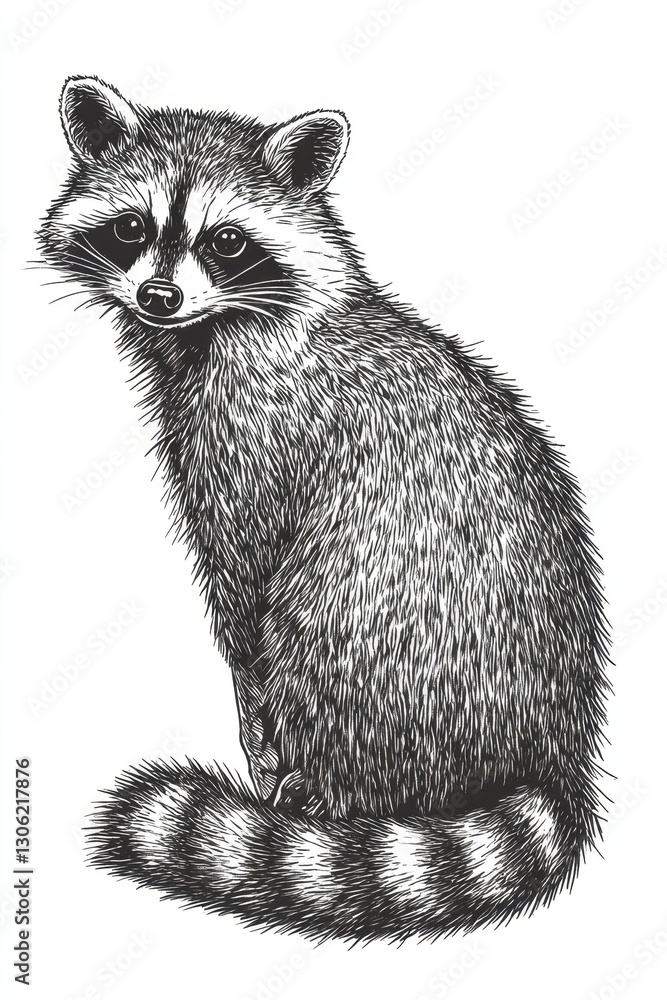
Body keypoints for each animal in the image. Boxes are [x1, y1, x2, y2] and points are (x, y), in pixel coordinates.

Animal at [38, 76, 610, 942]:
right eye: (131, 226)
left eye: (225, 241)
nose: (157, 296)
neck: (216, 326)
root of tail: (551, 749)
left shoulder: (254, 431)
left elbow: (242, 581)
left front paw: (256, 726)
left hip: (378, 626)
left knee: (309, 623)